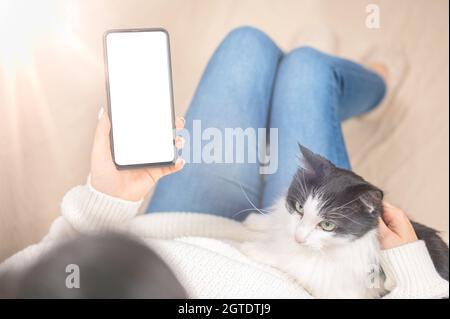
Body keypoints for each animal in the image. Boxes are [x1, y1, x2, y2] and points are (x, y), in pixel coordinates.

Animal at [241, 145, 448, 300]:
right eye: (299, 207)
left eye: (327, 225)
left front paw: (258, 250)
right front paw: (259, 221)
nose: (298, 238)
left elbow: (302, 266)